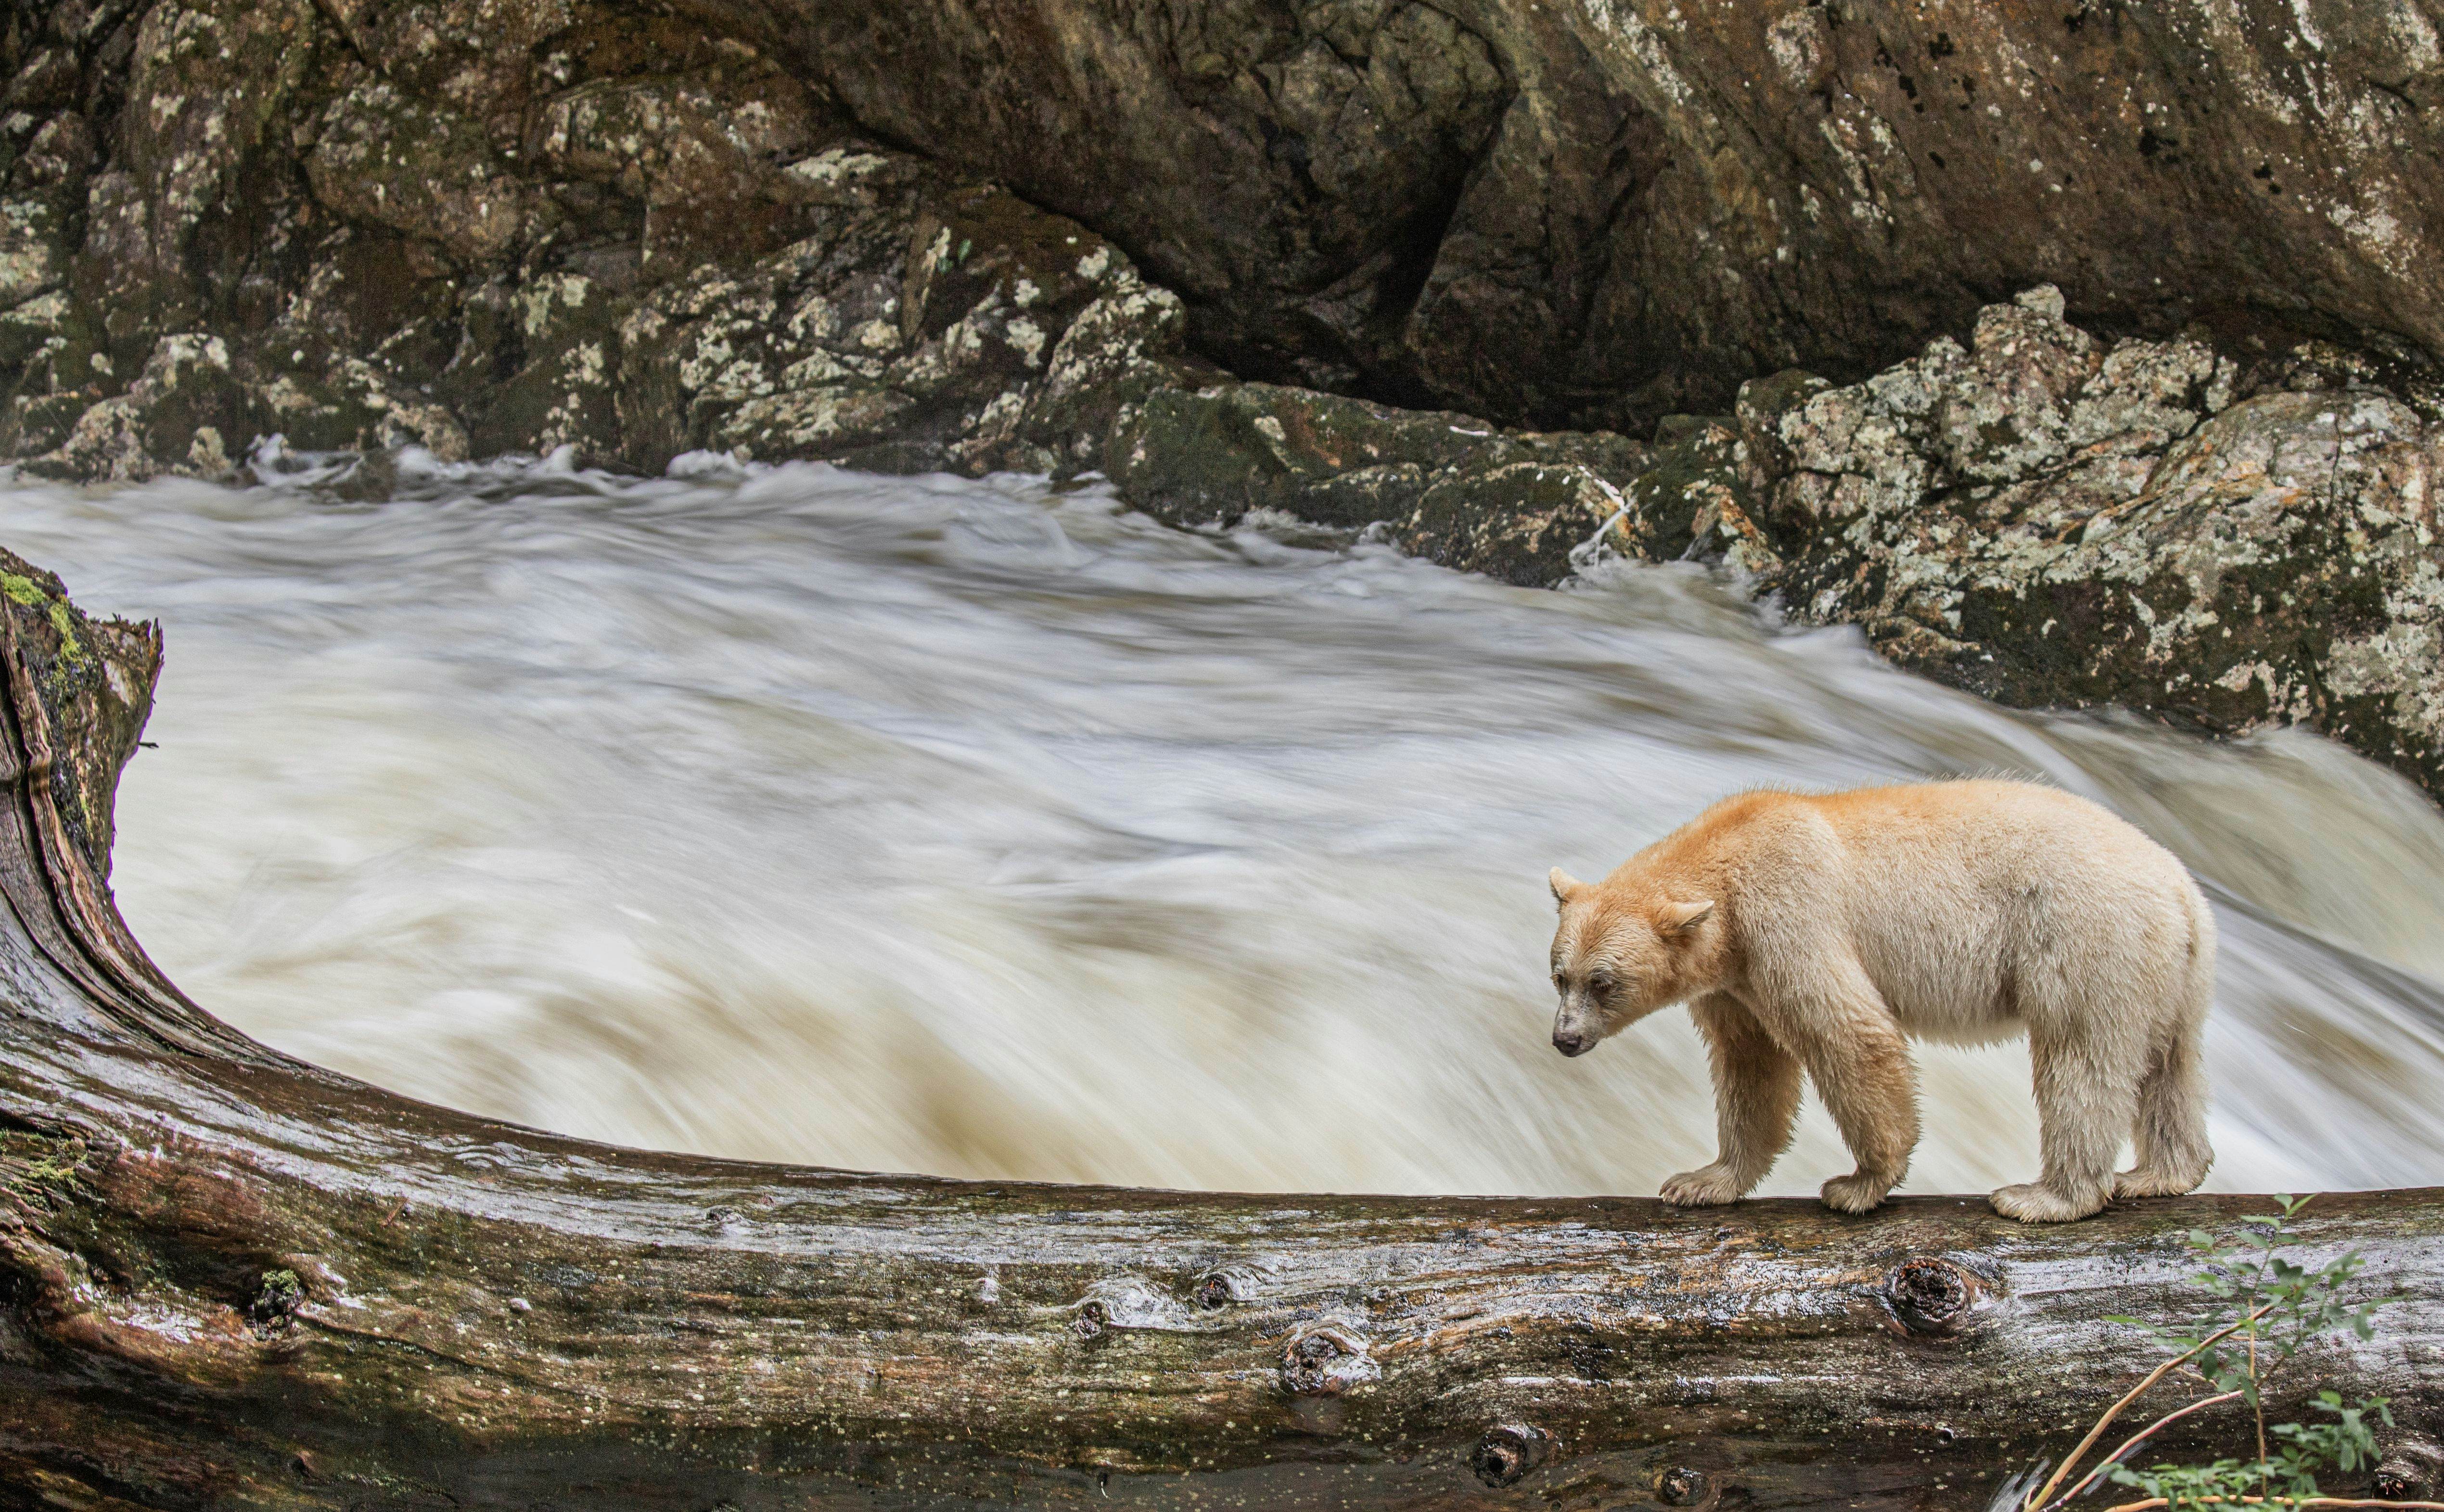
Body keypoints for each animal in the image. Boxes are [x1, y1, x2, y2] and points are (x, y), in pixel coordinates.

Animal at [1544, 776, 2219, 1226]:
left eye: (1604, 981)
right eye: (1559, 975)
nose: (1564, 1039)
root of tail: (2179, 884)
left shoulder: (1788, 914)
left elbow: (1847, 1032)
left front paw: (1859, 1183)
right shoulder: (1735, 980)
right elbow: (1751, 1065)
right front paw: (1703, 1179)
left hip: (2083, 937)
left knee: (2081, 1058)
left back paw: (2046, 1195)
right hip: (2173, 974)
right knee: (2171, 1064)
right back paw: (2160, 1173)